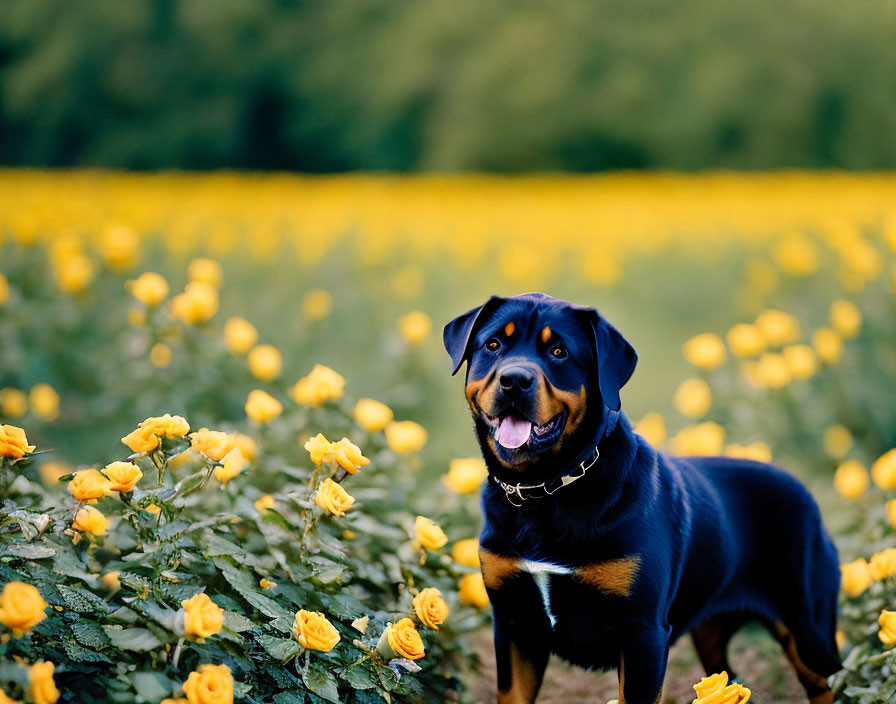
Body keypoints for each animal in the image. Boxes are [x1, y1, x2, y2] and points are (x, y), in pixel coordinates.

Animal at [444, 292, 844, 704]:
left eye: (558, 352)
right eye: (493, 345)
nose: (514, 380)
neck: (546, 489)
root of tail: (805, 492)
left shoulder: (643, 634)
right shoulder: (513, 626)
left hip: (807, 630)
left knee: (824, 682)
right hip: (711, 634)